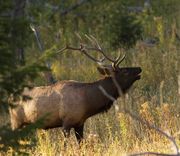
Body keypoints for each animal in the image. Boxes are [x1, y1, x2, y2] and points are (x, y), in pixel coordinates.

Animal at [9, 36, 142, 143]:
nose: (139, 68)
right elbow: (65, 145)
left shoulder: (80, 123)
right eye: (125, 71)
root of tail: (9, 98)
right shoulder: (66, 122)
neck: (87, 102)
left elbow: (81, 144)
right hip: (16, 122)